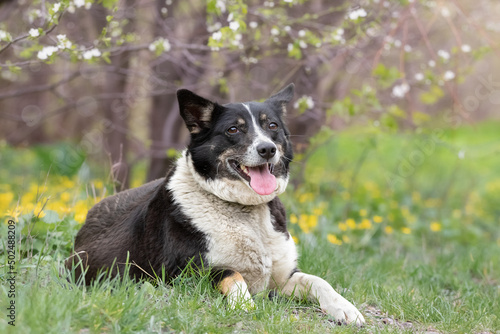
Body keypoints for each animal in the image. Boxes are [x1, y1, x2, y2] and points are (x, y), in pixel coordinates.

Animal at [65, 84, 364, 326]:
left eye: (272, 126)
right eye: (233, 129)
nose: (268, 149)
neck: (242, 208)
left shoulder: (283, 278)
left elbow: (318, 281)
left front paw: (345, 308)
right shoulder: (183, 274)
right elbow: (231, 273)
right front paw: (244, 305)